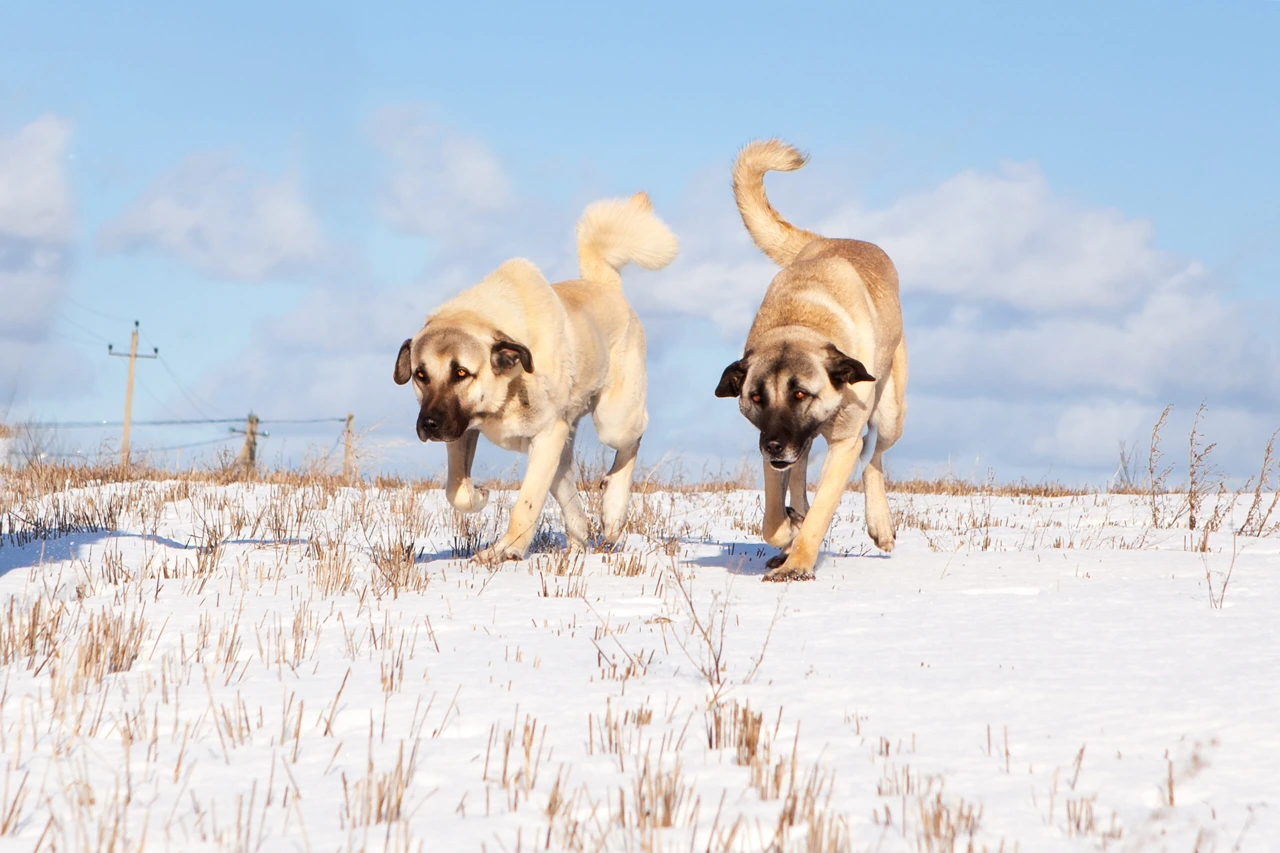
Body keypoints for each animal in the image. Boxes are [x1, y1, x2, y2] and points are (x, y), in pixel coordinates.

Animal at [394, 194, 680, 563]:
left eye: (461, 372)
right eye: (420, 374)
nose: (428, 424)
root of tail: (606, 286)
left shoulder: (546, 435)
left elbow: (527, 504)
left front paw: (506, 550)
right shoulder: (462, 430)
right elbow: (456, 489)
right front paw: (480, 494)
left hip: (613, 420)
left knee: (632, 440)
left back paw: (613, 513)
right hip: (563, 450)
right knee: (573, 502)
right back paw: (579, 542)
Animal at [711, 140, 911, 578]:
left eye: (801, 394)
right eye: (756, 397)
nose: (773, 444)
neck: (801, 323)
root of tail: (830, 238)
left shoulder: (844, 443)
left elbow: (822, 510)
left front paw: (797, 564)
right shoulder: (777, 454)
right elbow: (773, 518)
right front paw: (788, 536)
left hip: (890, 413)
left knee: (875, 457)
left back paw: (879, 524)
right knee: (803, 476)